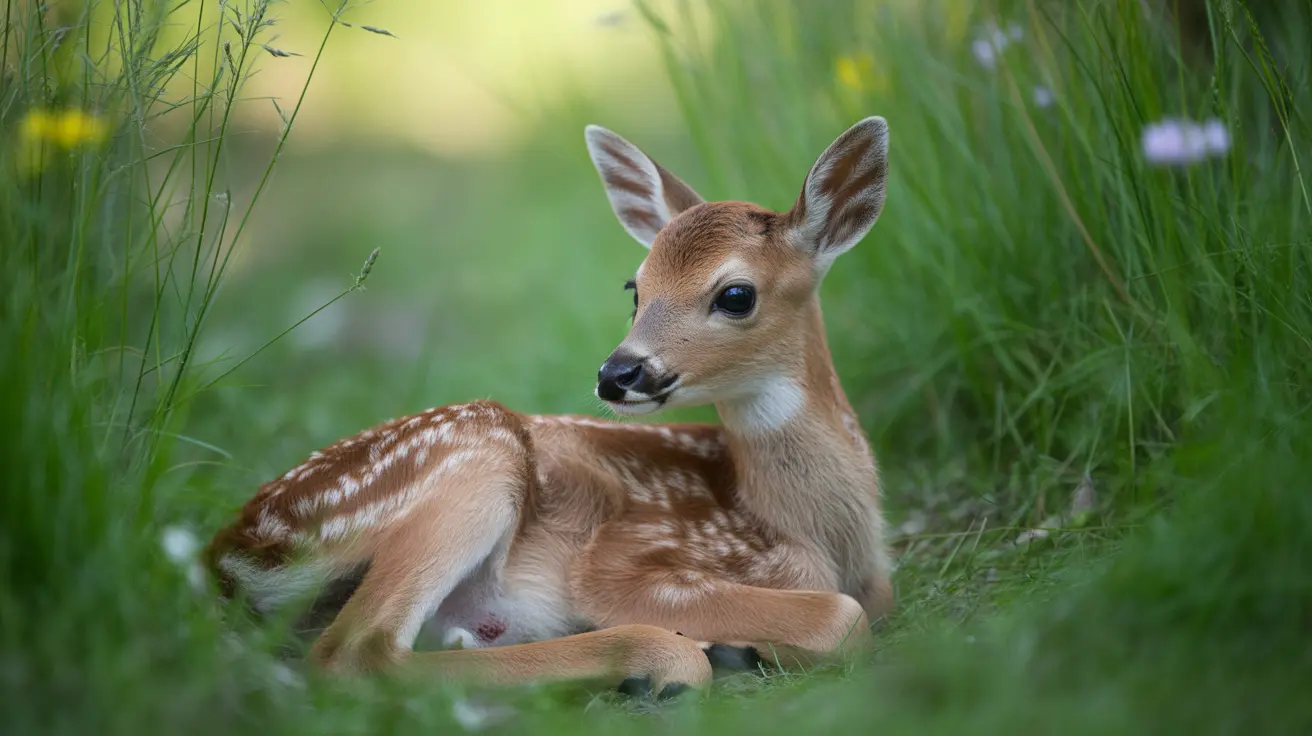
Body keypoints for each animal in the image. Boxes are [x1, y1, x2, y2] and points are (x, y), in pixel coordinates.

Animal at [205, 116, 894, 698]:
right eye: (636, 288)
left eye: (735, 294)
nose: (617, 374)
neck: (813, 532)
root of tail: (226, 557)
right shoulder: (628, 562)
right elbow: (841, 616)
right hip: (477, 456)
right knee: (355, 652)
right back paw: (666, 659)